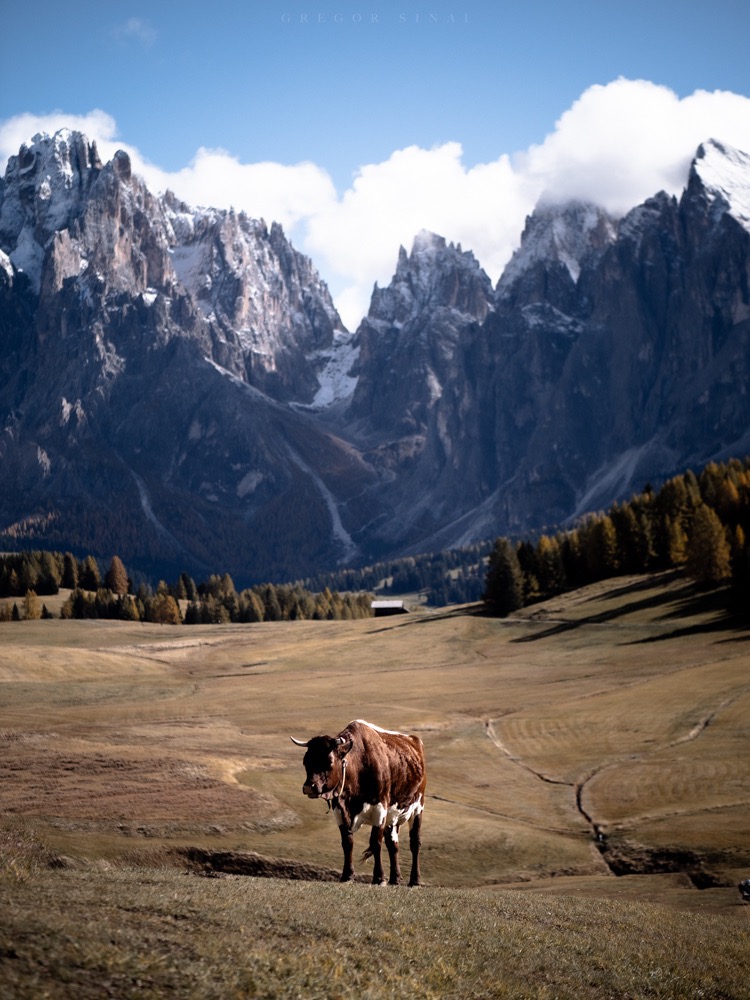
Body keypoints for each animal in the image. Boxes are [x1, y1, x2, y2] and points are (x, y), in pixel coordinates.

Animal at [290, 716, 426, 888]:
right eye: (306, 761)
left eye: (329, 761)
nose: (309, 787)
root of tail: (414, 740)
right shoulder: (339, 811)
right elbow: (347, 842)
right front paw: (347, 875)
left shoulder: (380, 809)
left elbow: (375, 842)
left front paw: (379, 878)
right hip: (393, 816)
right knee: (393, 844)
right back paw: (395, 879)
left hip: (417, 808)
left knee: (415, 842)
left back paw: (415, 880)